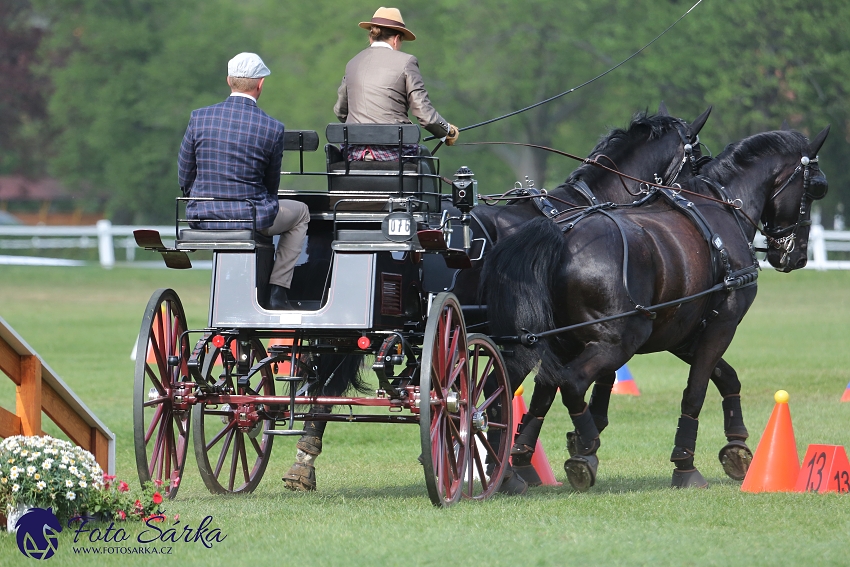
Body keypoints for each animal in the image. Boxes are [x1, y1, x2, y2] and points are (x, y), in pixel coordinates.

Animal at [284, 106, 708, 492]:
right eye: (696, 158)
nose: (695, 205)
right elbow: (509, 392)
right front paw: (506, 464)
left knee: (327, 381)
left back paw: (303, 462)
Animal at [484, 126, 828, 490]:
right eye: (817, 187)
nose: (796, 256)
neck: (723, 209)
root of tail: (559, 235)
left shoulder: (681, 334)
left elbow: (728, 378)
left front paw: (736, 444)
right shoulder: (722, 326)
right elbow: (695, 391)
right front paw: (685, 464)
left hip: (553, 339)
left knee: (516, 387)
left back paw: (511, 464)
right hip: (620, 338)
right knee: (571, 383)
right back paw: (582, 448)